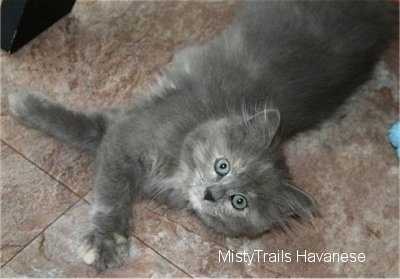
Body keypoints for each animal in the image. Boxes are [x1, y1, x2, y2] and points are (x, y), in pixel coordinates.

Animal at [7, 0, 392, 272]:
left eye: (239, 202)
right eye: (223, 165)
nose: (210, 193)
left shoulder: (120, 128)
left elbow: (87, 135)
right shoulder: (128, 133)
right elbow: (110, 191)